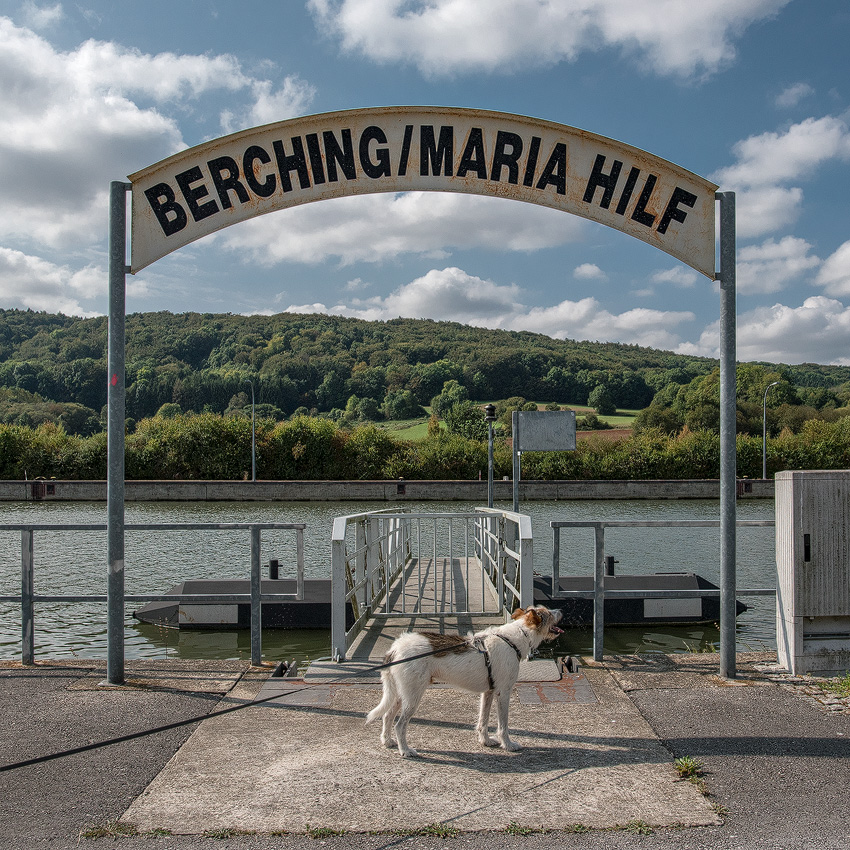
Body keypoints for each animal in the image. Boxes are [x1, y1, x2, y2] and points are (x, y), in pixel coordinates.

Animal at [364, 604, 564, 756]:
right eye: (548, 613)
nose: (561, 610)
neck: (514, 637)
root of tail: (394, 648)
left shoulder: (489, 692)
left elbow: (483, 720)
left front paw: (485, 741)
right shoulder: (503, 692)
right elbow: (503, 725)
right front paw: (508, 745)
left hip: (401, 692)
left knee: (387, 715)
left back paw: (387, 741)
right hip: (413, 695)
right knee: (400, 724)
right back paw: (405, 750)